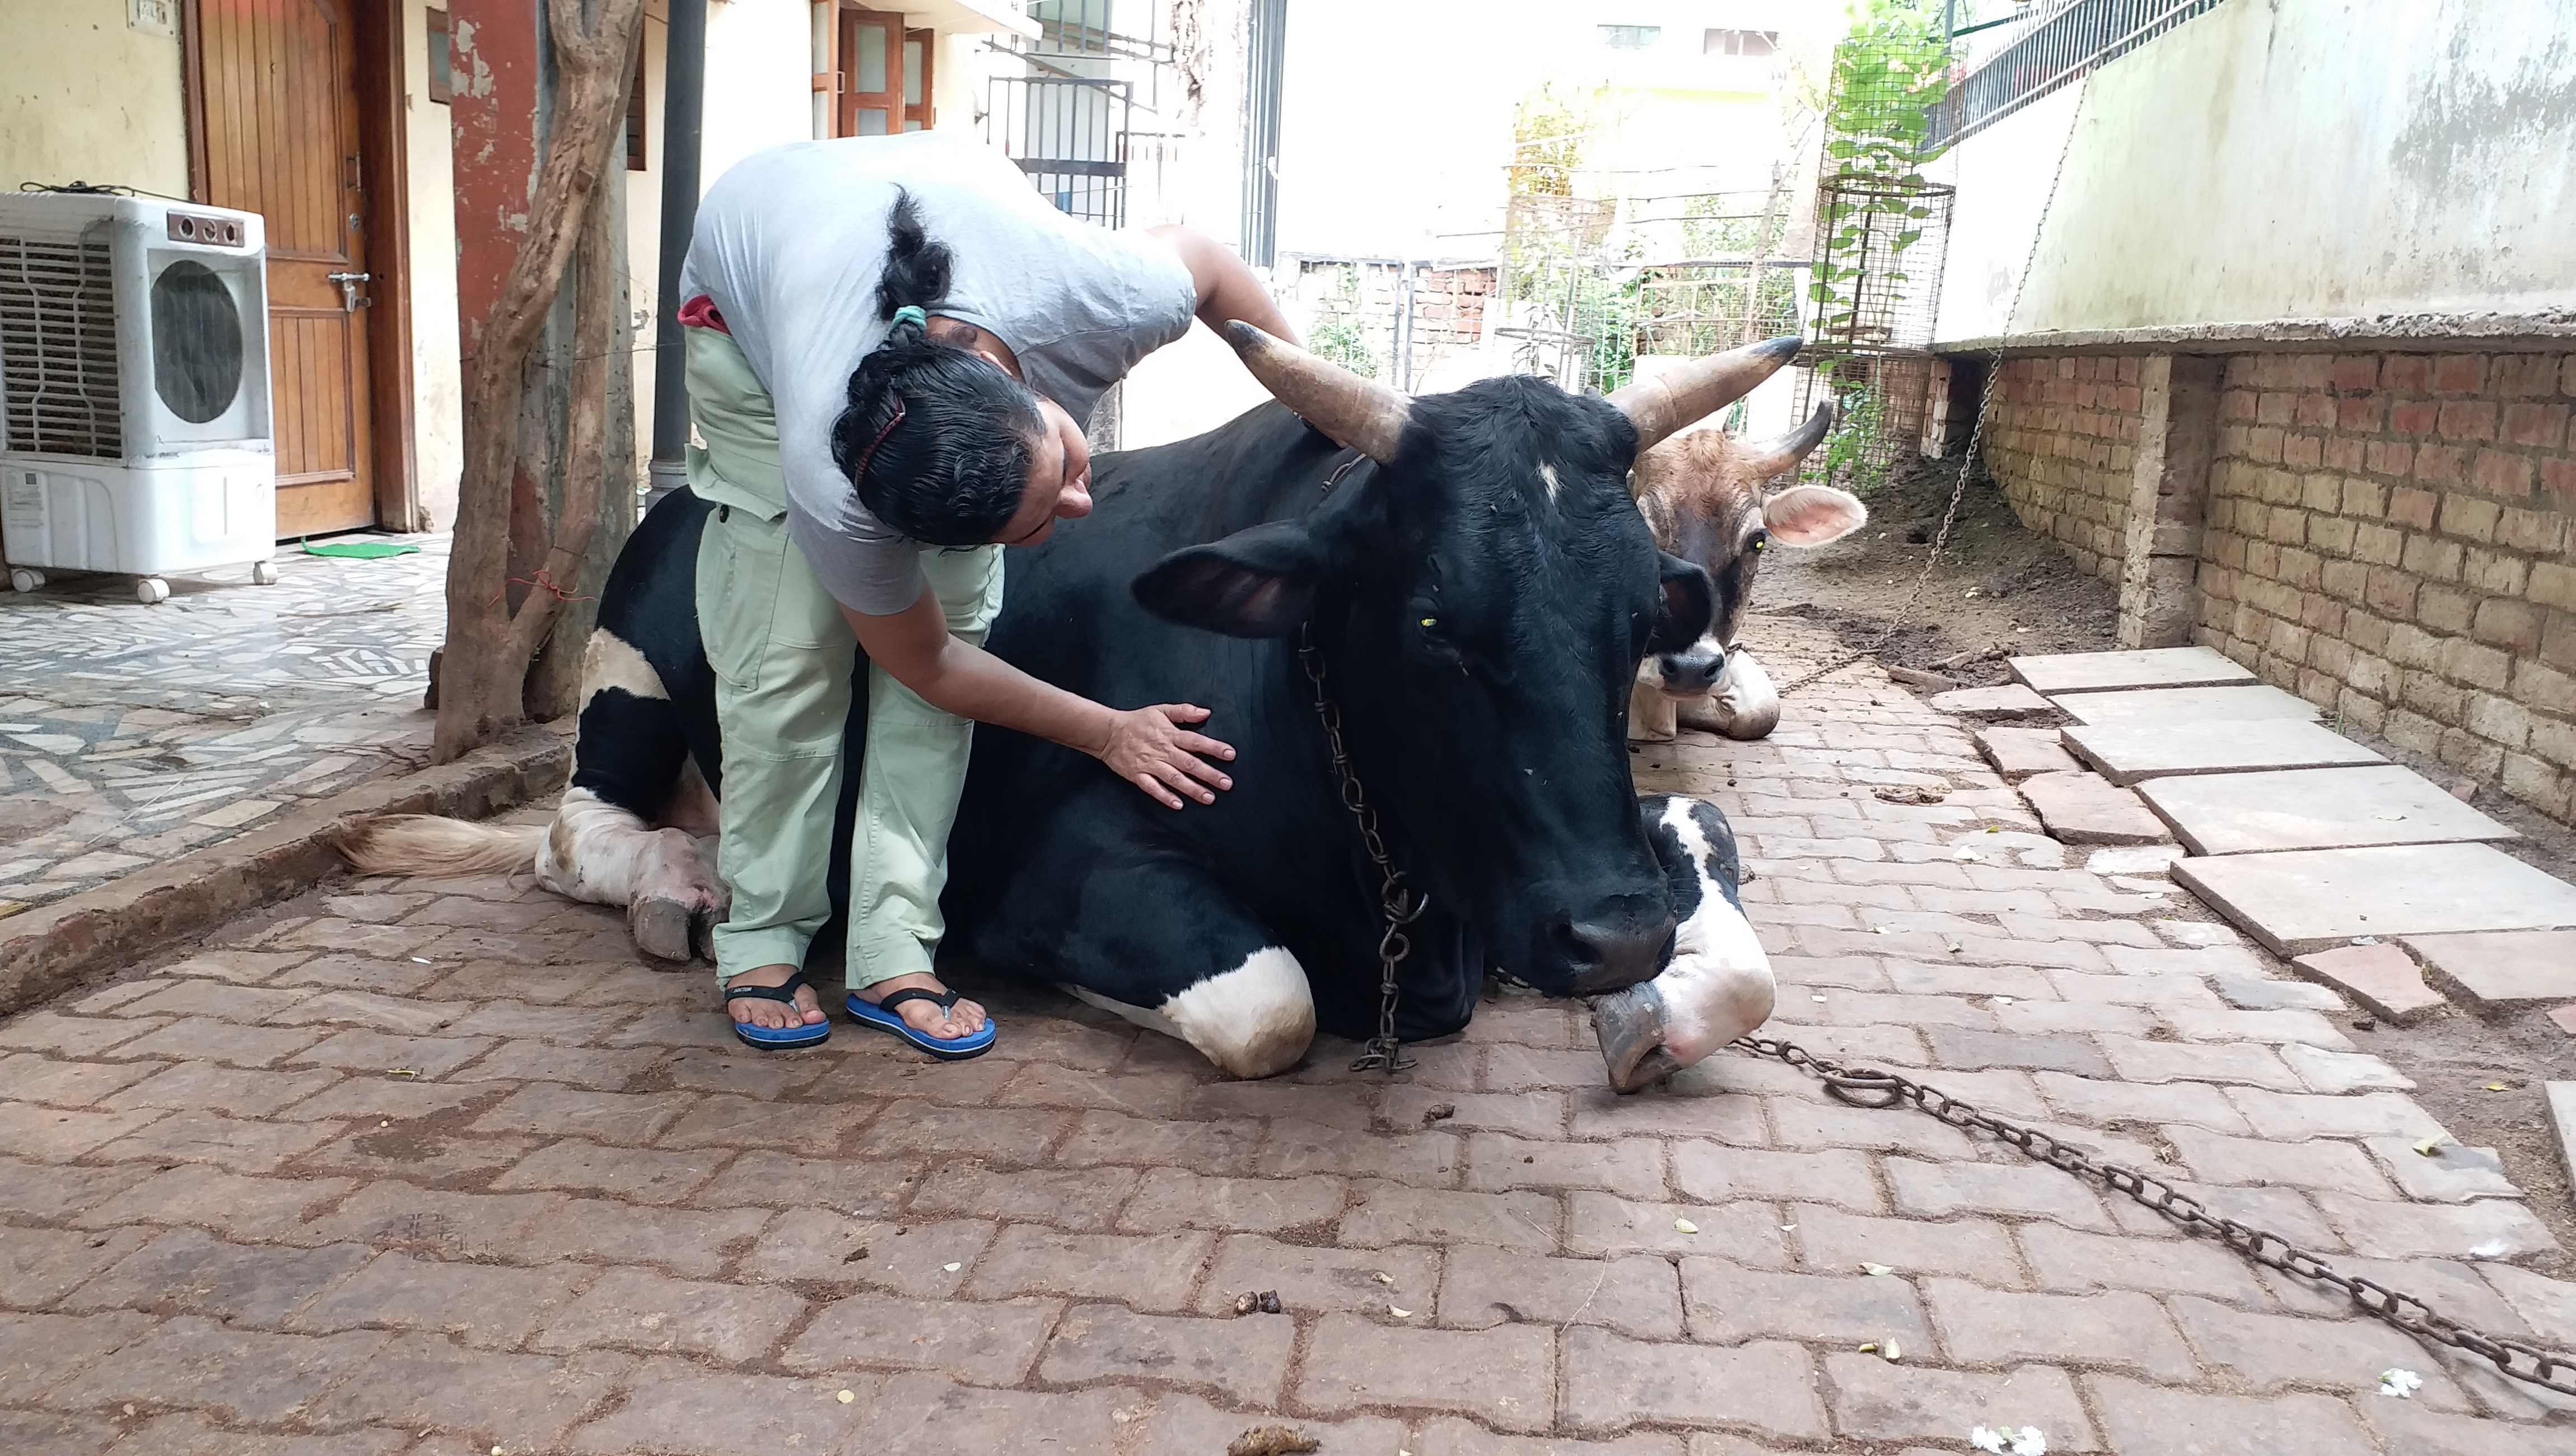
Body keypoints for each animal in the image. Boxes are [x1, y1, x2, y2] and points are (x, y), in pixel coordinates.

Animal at [342, 323, 1793, 1082]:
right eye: (1433, 620)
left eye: (1638, 619)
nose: (1608, 934)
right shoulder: (1061, 862)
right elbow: (1268, 1003)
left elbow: (1734, 912)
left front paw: (1650, 1005)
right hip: (632, 677)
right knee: (570, 831)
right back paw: (684, 886)